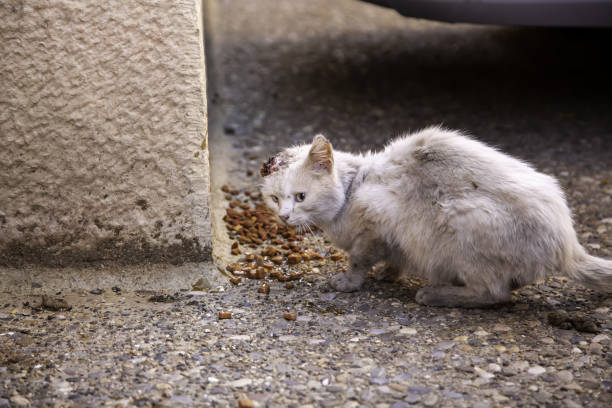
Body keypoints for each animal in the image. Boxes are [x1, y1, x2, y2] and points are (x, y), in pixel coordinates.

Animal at [260, 126, 612, 306]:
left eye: (301, 197)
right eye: (274, 199)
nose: (284, 217)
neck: (351, 189)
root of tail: (568, 245)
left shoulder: (377, 223)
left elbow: (359, 260)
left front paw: (349, 282)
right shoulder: (391, 236)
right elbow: (393, 259)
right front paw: (389, 273)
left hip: (463, 220)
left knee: (494, 293)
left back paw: (434, 294)